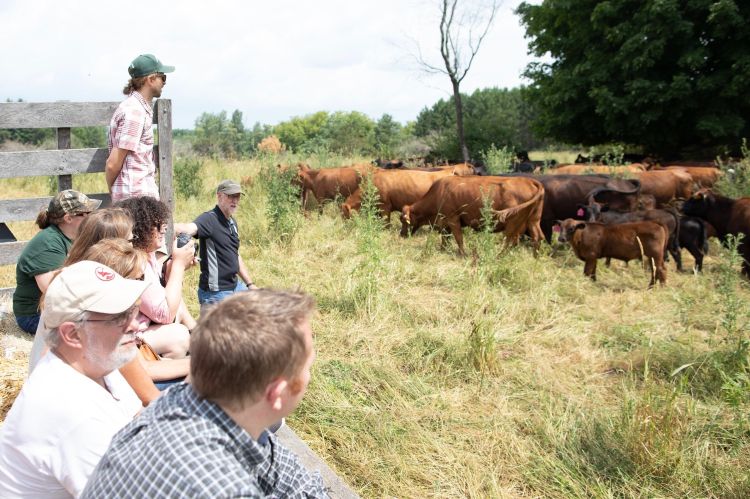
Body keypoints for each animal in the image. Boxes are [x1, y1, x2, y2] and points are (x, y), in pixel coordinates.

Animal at [402, 176, 544, 256]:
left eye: (403, 220)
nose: (401, 234)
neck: (440, 192)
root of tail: (529, 181)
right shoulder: (445, 222)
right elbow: (445, 237)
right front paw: (443, 249)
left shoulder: (453, 218)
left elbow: (458, 238)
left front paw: (463, 254)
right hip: (533, 220)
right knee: (537, 237)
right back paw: (535, 257)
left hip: (513, 223)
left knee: (511, 240)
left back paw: (500, 256)